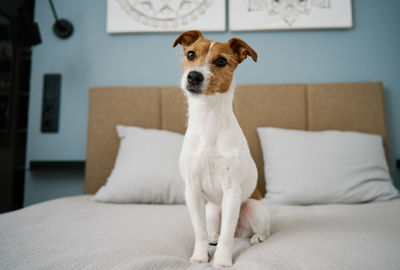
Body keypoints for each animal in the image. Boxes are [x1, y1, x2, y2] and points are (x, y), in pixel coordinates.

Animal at [173, 30, 270, 266]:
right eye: (190, 54)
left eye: (221, 61)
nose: (194, 76)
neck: (208, 117)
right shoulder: (192, 191)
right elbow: (199, 232)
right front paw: (200, 256)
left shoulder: (232, 191)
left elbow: (227, 235)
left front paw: (222, 260)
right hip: (211, 210)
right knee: (214, 229)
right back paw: (213, 237)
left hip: (253, 209)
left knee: (259, 231)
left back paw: (256, 237)